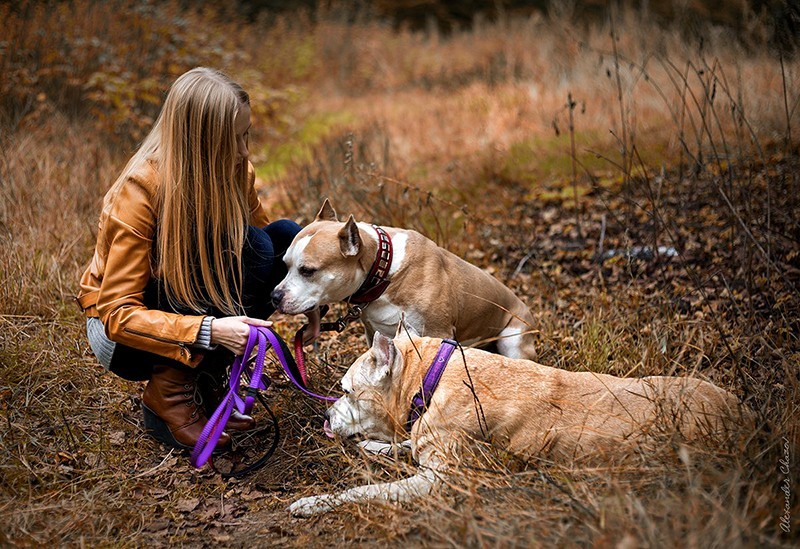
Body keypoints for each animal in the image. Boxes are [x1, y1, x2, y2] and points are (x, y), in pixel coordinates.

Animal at [270, 200, 536, 360]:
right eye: (285, 265)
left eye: (307, 270)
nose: (274, 296)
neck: (384, 270)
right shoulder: (374, 333)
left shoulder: (437, 333)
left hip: (514, 342)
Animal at [290, 328, 752, 516]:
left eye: (346, 391)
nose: (325, 415)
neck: (427, 380)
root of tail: (745, 415)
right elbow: (400, 447)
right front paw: (374, 446)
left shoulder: (438, 481)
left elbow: (364, 491)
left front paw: (312, 503)